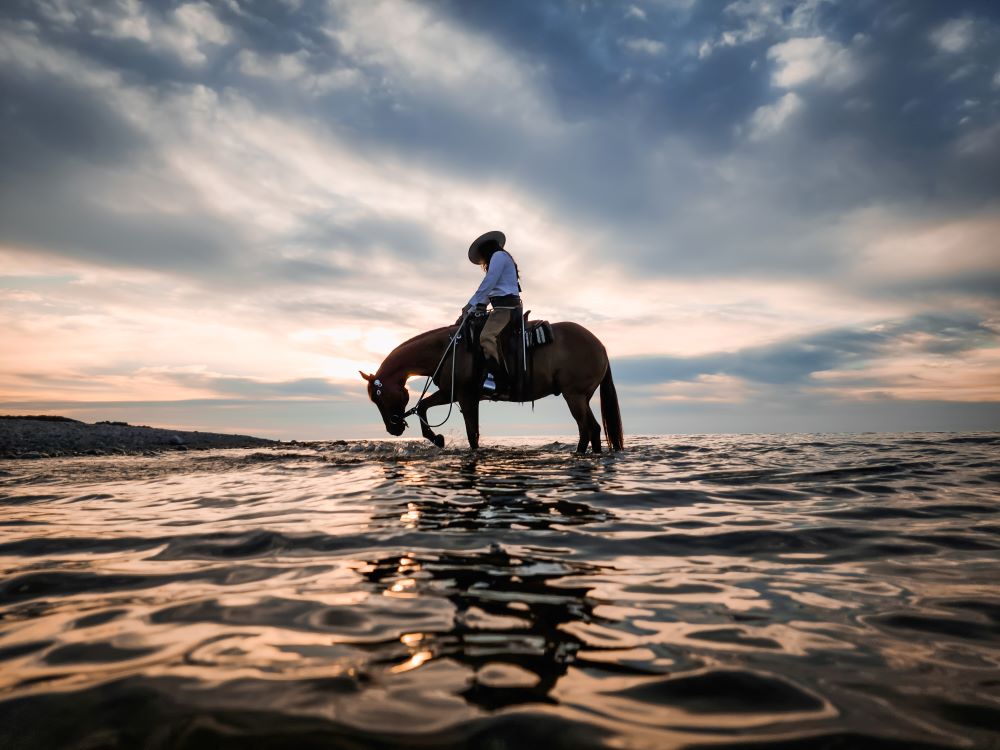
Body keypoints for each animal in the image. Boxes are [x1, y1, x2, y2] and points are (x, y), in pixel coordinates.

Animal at [360, 318, 624, 452]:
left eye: (379, 397)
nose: (392, 428)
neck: (447, 350)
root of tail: (600, 345)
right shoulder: (452, 394)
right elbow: (423, 406)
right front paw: (437, 438)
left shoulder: (464, 397)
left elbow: (472, 435)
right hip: (581, 397)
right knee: (594, 430)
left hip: (574, 396)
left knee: (586, 429)